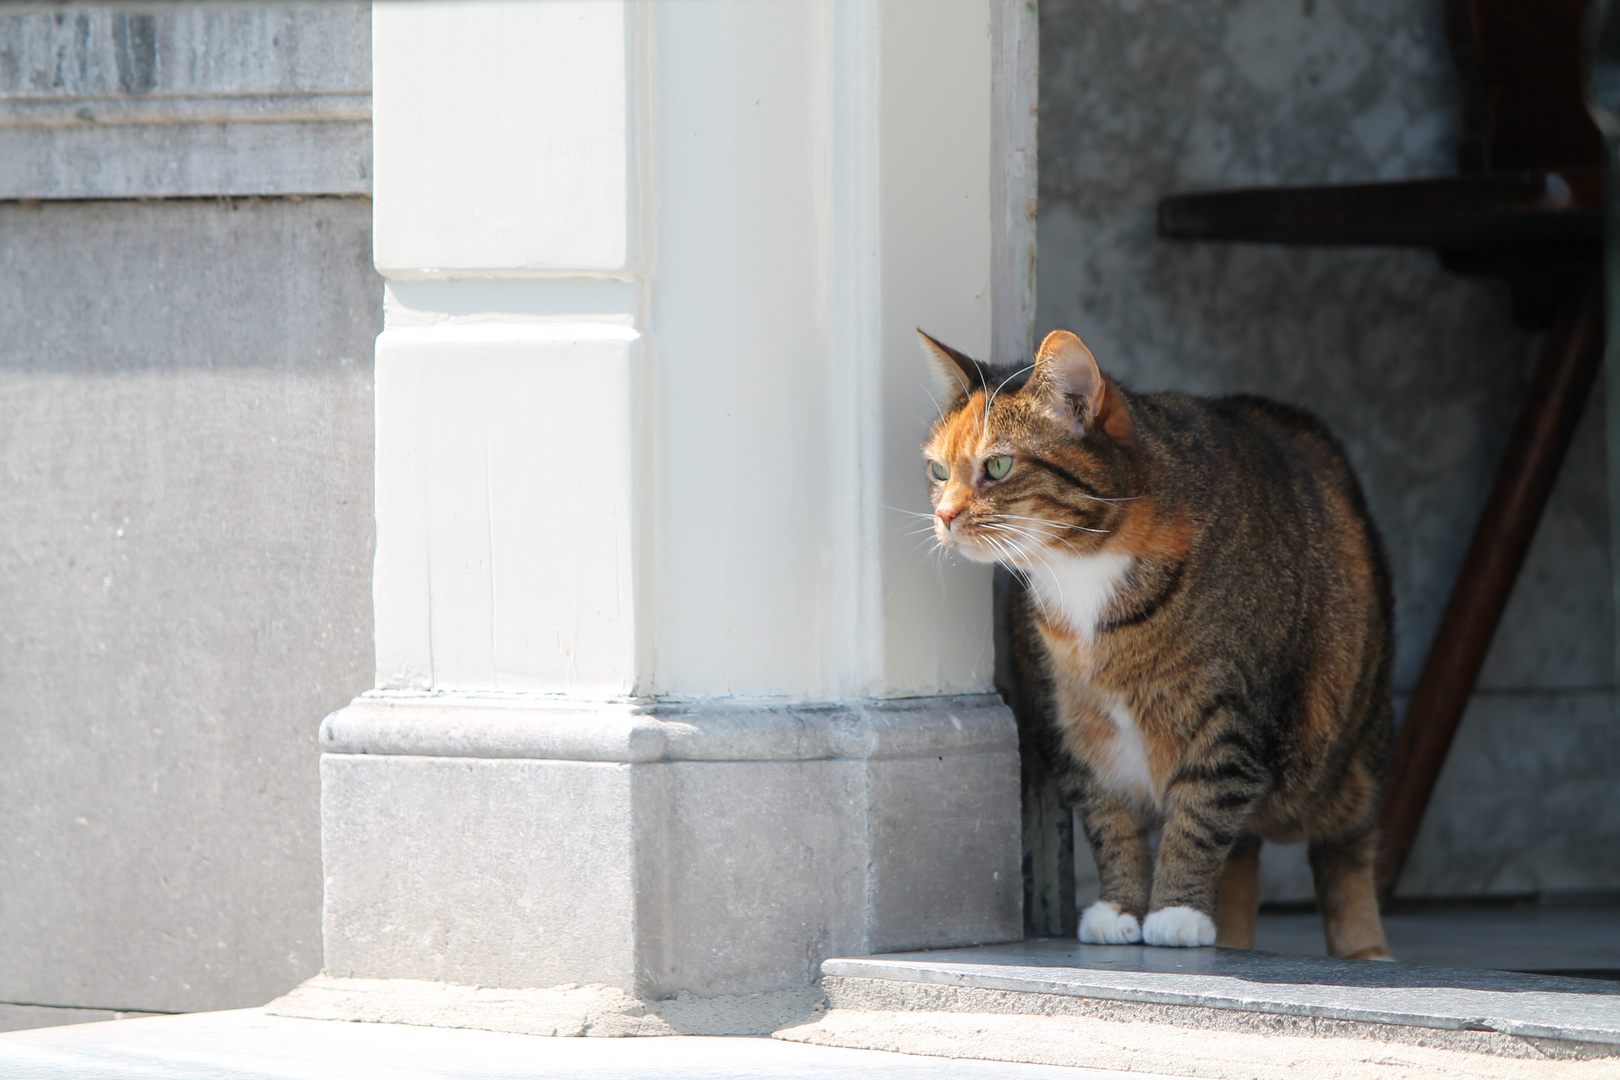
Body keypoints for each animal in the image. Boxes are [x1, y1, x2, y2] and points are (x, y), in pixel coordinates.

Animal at [926, 325, 1393, 958]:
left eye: (997, 465)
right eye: (938, 472)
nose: (945, 516)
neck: (1082, 564)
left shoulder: (1231, 720)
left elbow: (1201, 814)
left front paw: (1175, 911)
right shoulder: (1075, 726)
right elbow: (1110, 820)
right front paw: (1122, 908)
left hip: (1345, 754)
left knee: (1347, 847)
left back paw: (1366, 948)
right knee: (1244, 856)